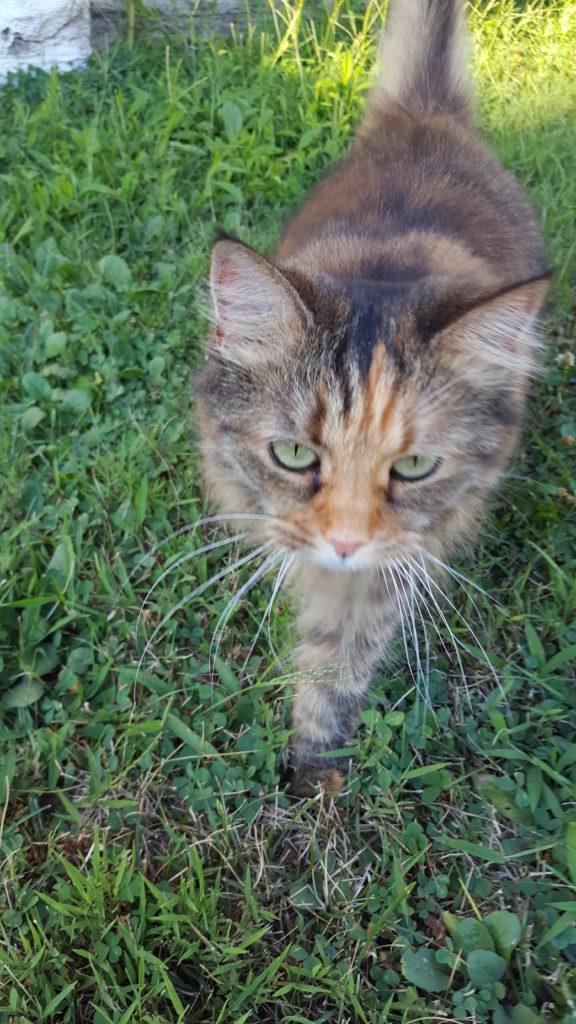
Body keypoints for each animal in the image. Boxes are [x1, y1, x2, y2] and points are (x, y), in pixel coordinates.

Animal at [192, 0, 545, 794]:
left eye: (413, 468)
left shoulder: (395, 560)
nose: (347, 542)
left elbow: (340, 664)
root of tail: (424, 115)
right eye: (294, 455)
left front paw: (316, 768)